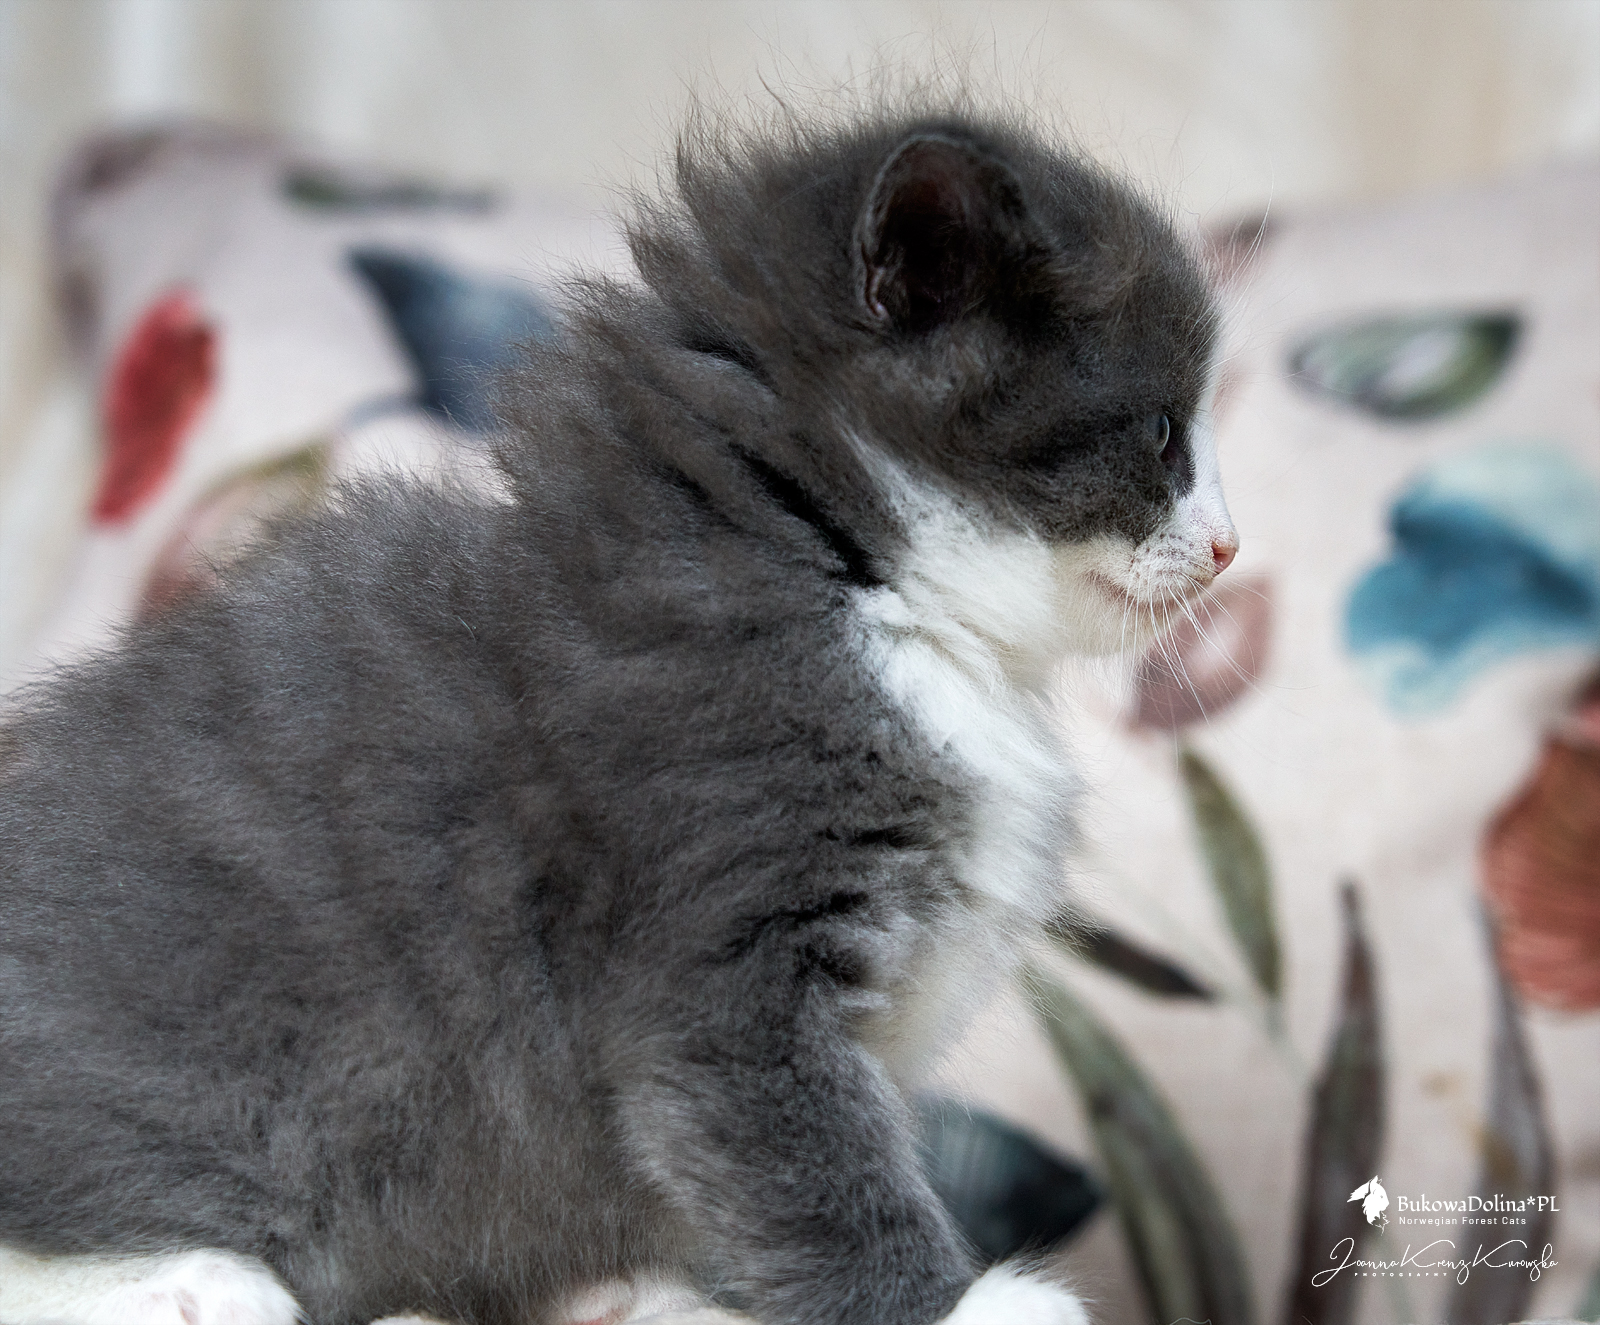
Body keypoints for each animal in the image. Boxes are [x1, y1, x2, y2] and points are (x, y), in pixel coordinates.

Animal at [0, 98, 1235, 1325]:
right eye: (1163, 432)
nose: (1228, 546)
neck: (860, 593)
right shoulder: (718, 943)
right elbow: (810, 1163)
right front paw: (955, 1305)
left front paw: (655, 1286)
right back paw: (194, 1281)